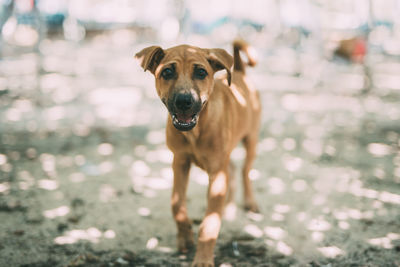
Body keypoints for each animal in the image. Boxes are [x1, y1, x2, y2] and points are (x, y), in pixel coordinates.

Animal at [135, 40, 260, 267]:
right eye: (167, 72)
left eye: (201, 72)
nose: (184, 101)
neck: (196, 131)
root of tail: (239, 71)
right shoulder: (179, 162)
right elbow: (176, 204)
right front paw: (184, 236)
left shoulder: (217, 173)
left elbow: (209, 223)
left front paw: (203, 259)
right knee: (233, 170)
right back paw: (227, 206)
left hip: (251, 139)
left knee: (245, 170)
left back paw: (249, 202)